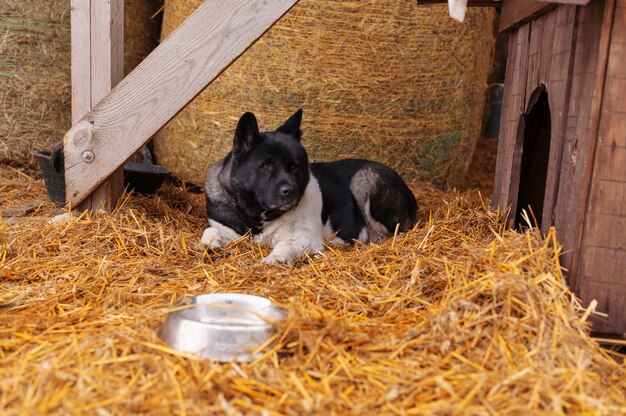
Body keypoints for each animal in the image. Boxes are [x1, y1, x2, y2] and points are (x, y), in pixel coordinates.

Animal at [200, 108, 416, 264]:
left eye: (294, 166)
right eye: (266, 165)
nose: (291, 192)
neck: (258, 215)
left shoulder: (307, 237)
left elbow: (286, 244)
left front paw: (276, 257)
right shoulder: (228, 229)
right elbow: (211, 231)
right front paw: (209, 243)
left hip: (364, 178)